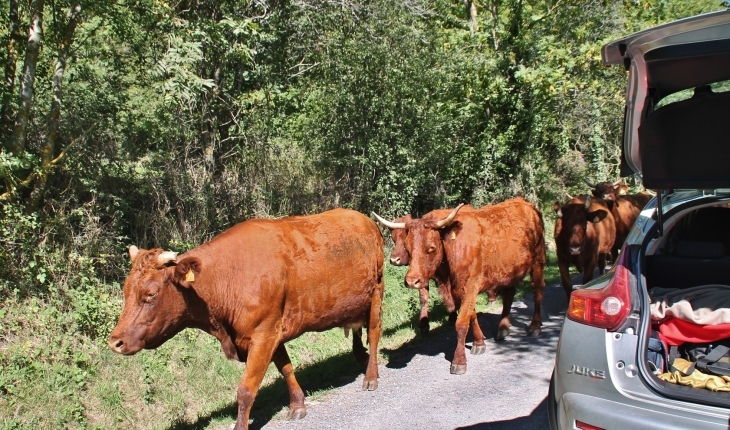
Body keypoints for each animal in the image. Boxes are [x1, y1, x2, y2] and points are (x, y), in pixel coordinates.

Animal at [108, 208, 384, 430]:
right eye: (125, 290)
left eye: (150, 294)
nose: (115, 342)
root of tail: (362, 218)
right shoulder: (272, 331)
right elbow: (285, 368)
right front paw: (297, 405)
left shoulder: (263, 333)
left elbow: (246, 389)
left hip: (376, 293)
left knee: (373, 333)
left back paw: (370, 377)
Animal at [372, 197, 544, 374]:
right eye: (408, 247)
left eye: (431, 248)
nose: (412, 281)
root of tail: (524, 202)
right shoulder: (459, 290)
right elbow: (471, 315)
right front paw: (479, 342)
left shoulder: (470, 286)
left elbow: (461, 322)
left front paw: (459, 360)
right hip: (508, 271)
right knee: (509, 295)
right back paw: (503, 328)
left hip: (538, 261)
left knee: (537, 291)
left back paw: (534, 327)